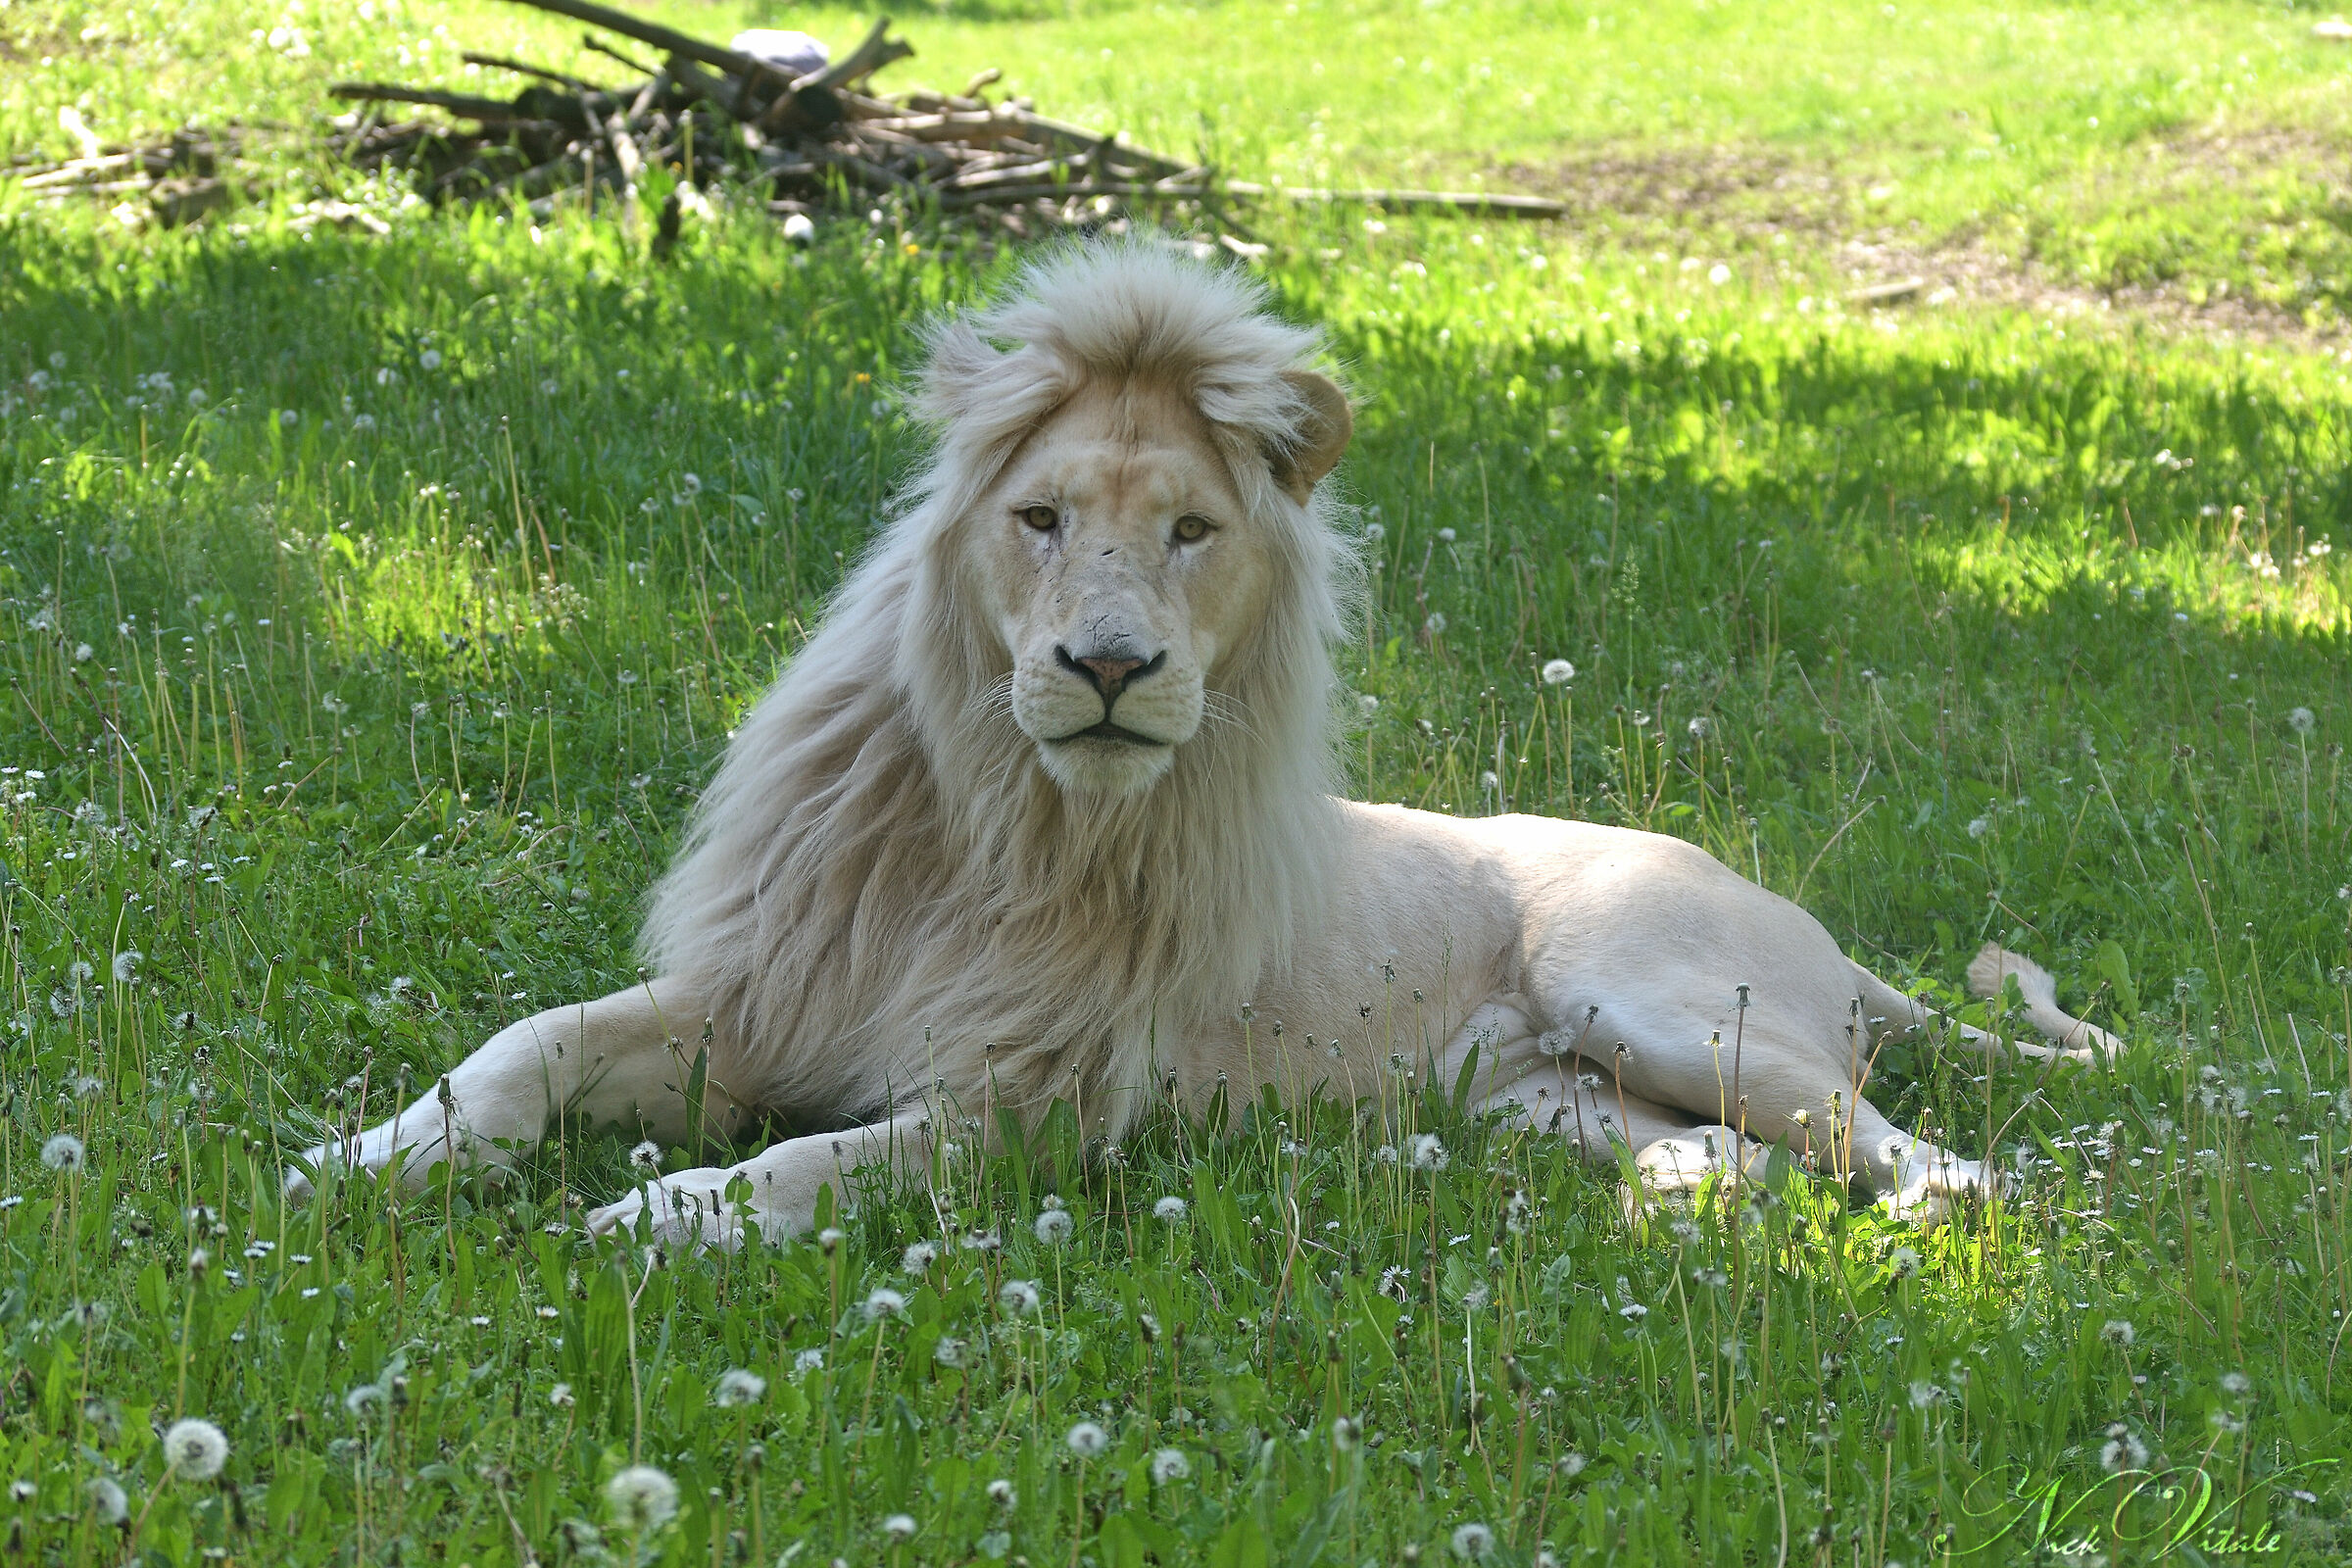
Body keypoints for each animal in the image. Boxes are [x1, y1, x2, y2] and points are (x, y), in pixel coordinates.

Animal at [289, 241, 2118, 1243]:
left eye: (1190, 533)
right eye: (1037, 518)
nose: (1109, 668)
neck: (997, 824)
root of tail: (1807, 920)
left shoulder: (1030, 1106)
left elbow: (820, 1162)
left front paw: (662, 1215)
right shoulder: (772, 991)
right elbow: (521, 1047)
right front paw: (357, 1164)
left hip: (1657, 994)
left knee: (1917, 1149)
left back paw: (1932, 1200)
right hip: (1537, 1091)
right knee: (1727, 1161)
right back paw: (1670, 1207)